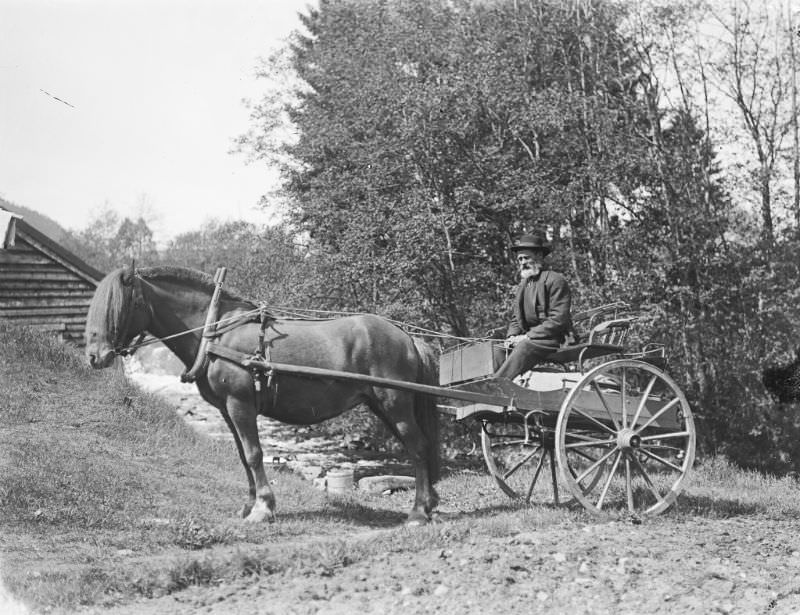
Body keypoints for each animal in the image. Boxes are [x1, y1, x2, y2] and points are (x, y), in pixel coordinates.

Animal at [84, 264, 440, 524]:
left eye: (120, 305)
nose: (94, 356)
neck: (215, 332)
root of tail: (408, 337)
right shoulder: (227, 410)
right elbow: (243, 456)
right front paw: (249, 505)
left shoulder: (240, 405)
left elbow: (255, 454)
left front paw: (263, 508)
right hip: (383, 405)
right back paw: (429, 504)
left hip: (395, 404)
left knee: (418, 447)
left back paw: (418, 513)